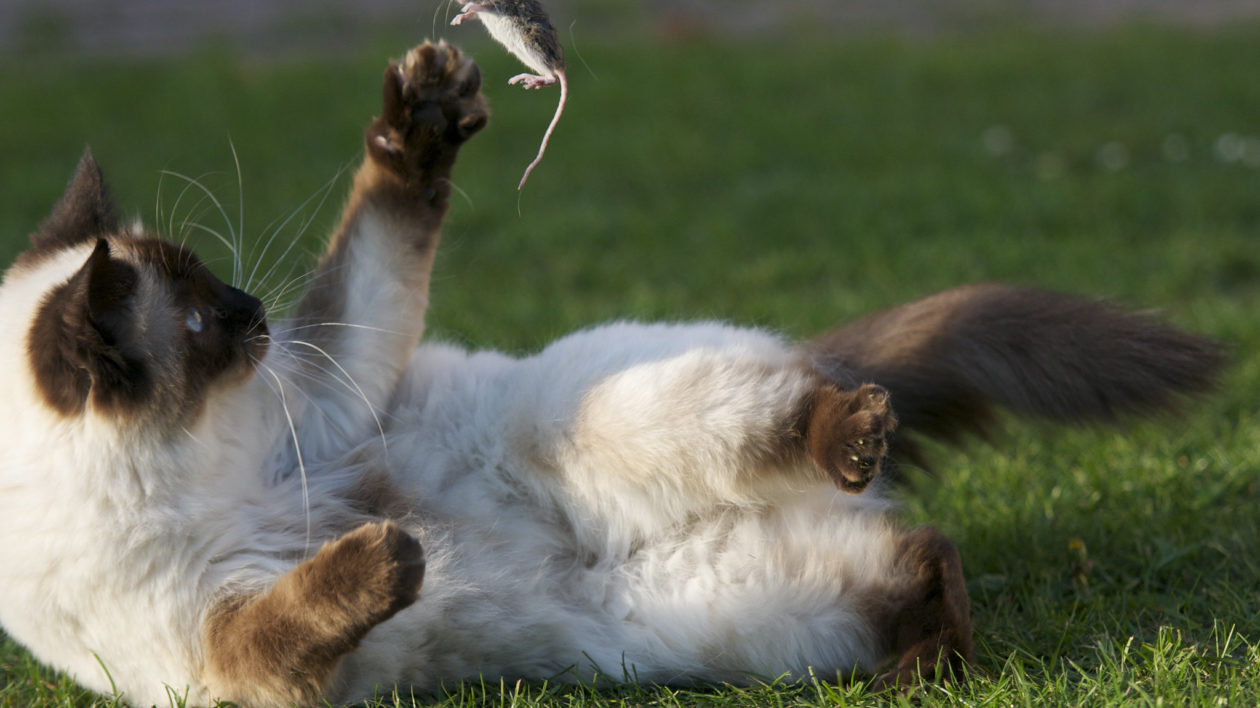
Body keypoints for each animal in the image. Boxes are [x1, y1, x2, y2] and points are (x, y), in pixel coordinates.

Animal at [0, 41, 1224, 700]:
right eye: (201, 318)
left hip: (589, 424)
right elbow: (293, 614)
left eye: (214, 289)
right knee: (922, 551)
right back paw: (925, 661)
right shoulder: (219, 653)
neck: (204, 461)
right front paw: (395, 555)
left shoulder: (330, 389)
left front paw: (427, 108)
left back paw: (854, 445)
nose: (256, 314)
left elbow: (380, 240)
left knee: (825, 441)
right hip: (727, 613)